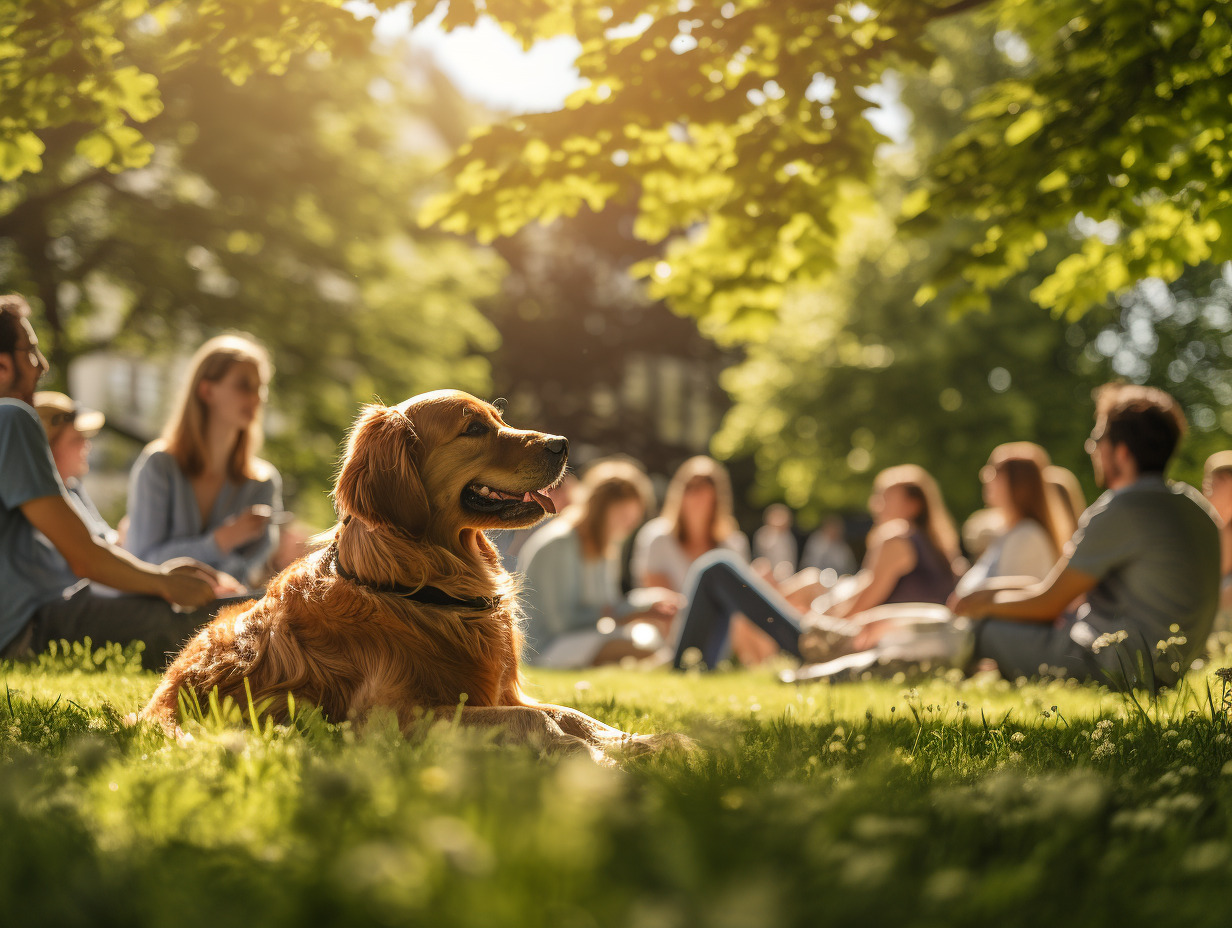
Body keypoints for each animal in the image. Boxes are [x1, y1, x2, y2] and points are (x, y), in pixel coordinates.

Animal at [141, 391, 684, 759]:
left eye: (500, 419)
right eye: (473, 429)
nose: (563, 444)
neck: (424, 586)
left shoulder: (502, 692)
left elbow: (568, 713)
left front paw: (652, 741)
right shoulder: (385, 719)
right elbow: (539, 723)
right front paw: (597, 760)